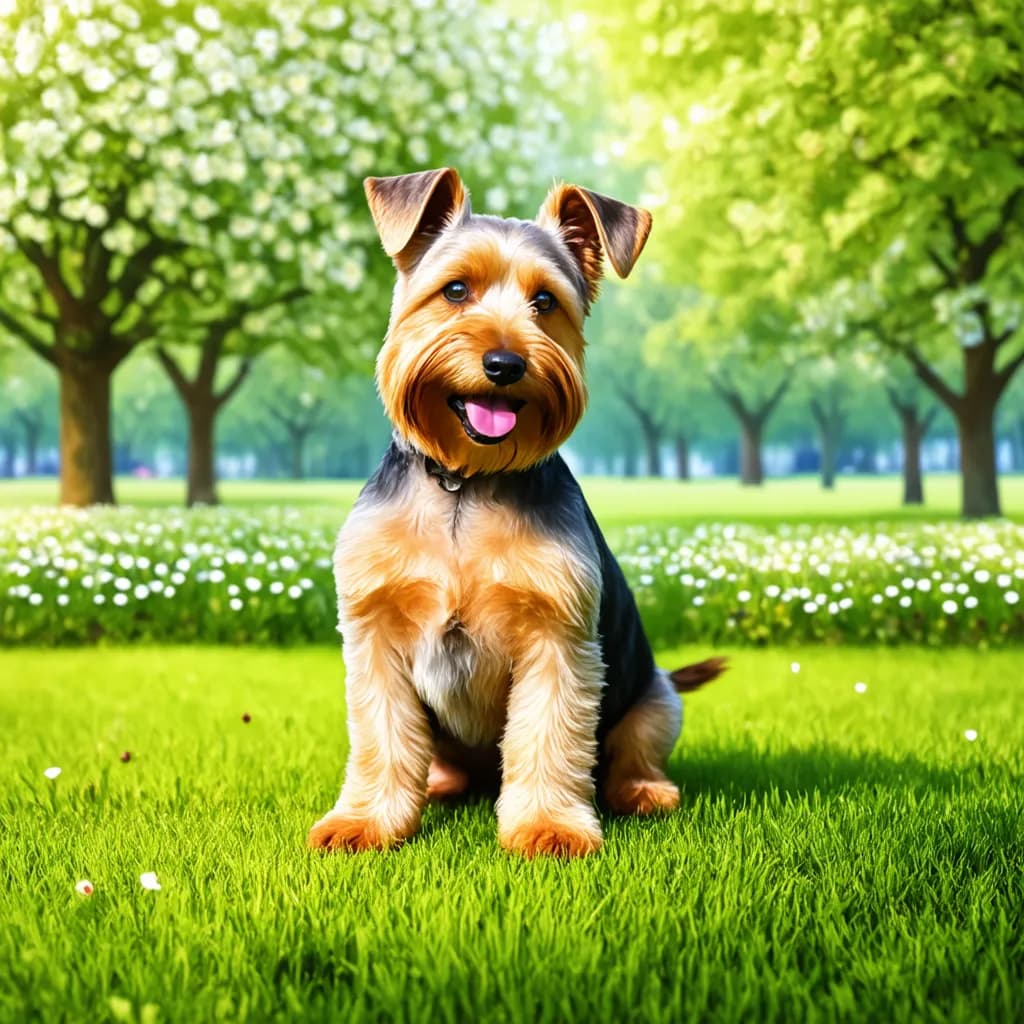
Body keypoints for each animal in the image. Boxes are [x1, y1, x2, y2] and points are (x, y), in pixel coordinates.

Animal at [307, 167, 724, 856]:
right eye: (455, 289)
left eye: (546, 302)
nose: (504, 364)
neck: (465, 483)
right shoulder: (374, 632)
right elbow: (382, 738)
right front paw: (364, 821)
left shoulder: (557, 637)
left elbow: (549, 736)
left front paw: (549, 827)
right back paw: (440, 785)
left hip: (656, 698)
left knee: (632, 751)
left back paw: (643, 792)